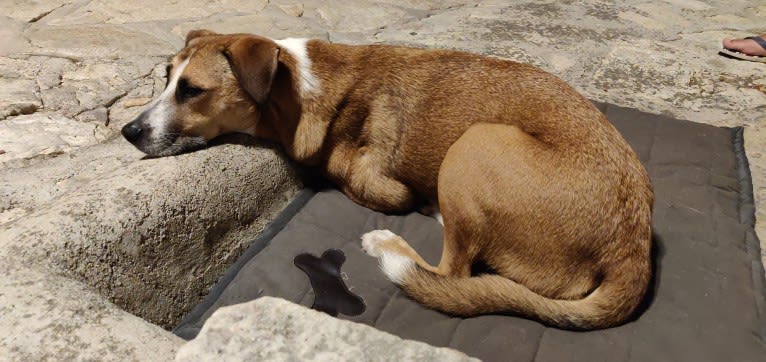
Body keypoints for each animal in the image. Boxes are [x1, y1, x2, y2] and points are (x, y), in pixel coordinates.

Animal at [124, 29, 656, 330]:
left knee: (452, 274)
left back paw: (393, 243)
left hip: (475, 142)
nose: (128, 131)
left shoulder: (381, 182)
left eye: (192, 91)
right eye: (165, 78)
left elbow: (359, 178)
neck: (296, 83)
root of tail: (632, 248)